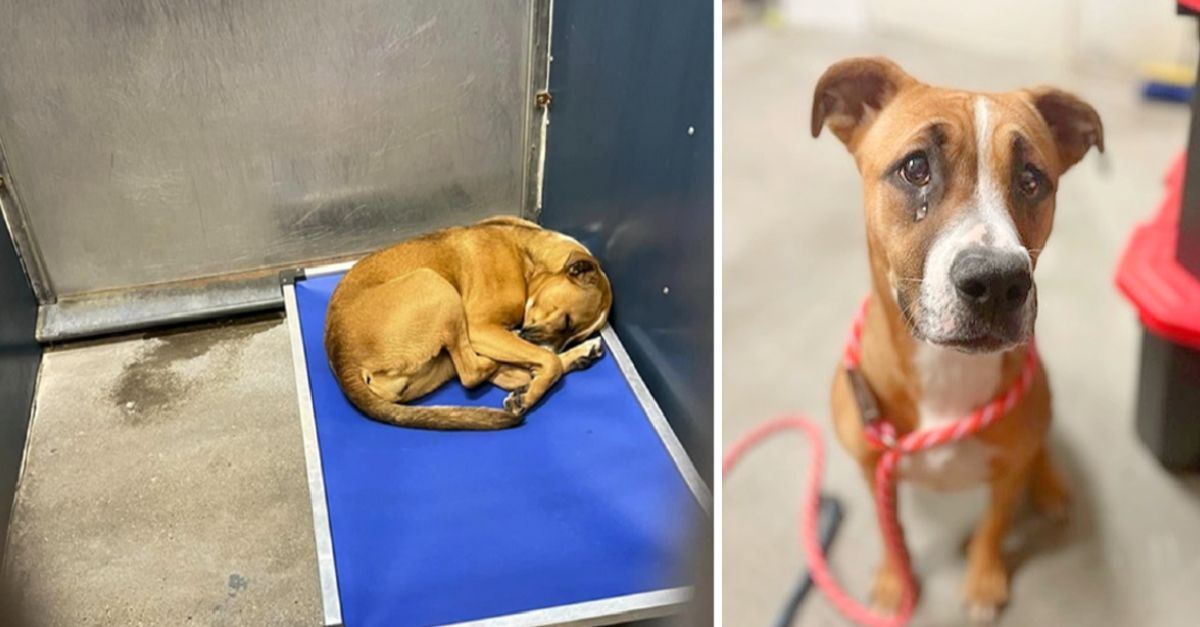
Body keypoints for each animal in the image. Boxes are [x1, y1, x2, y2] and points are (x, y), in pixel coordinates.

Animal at [326, 216, 614, 430]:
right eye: (566, 322)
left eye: (573, 334)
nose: (574, 345)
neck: (529, 258)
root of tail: (342, 360)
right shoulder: (480, 328)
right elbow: (549, 361)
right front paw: (529, 395)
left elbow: (547, 360)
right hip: (436, 286)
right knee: (475, 372)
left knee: (498, 373)